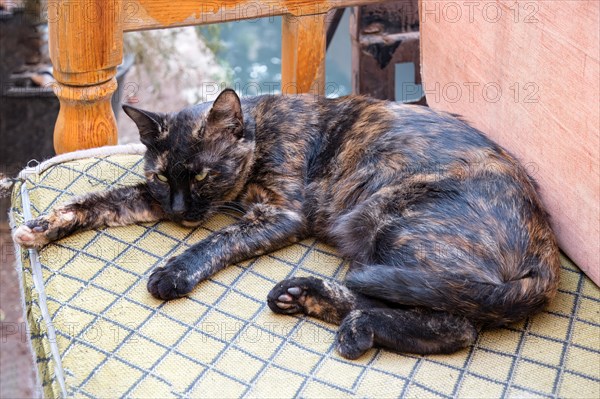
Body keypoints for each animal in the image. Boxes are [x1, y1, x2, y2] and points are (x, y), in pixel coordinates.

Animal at [11, 90, 560, 360]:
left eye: (203, 175)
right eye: (163, 175)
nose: (181, 211)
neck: (259, 132)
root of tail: (546, 251)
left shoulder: (280, 214)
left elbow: (219, 238)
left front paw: (173, 272)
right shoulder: (152, 199)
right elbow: (99, 201)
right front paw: (41, 225)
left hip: (390, 221)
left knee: (455, 322)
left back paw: (354, 326)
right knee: (394, 295)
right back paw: (305, 297)